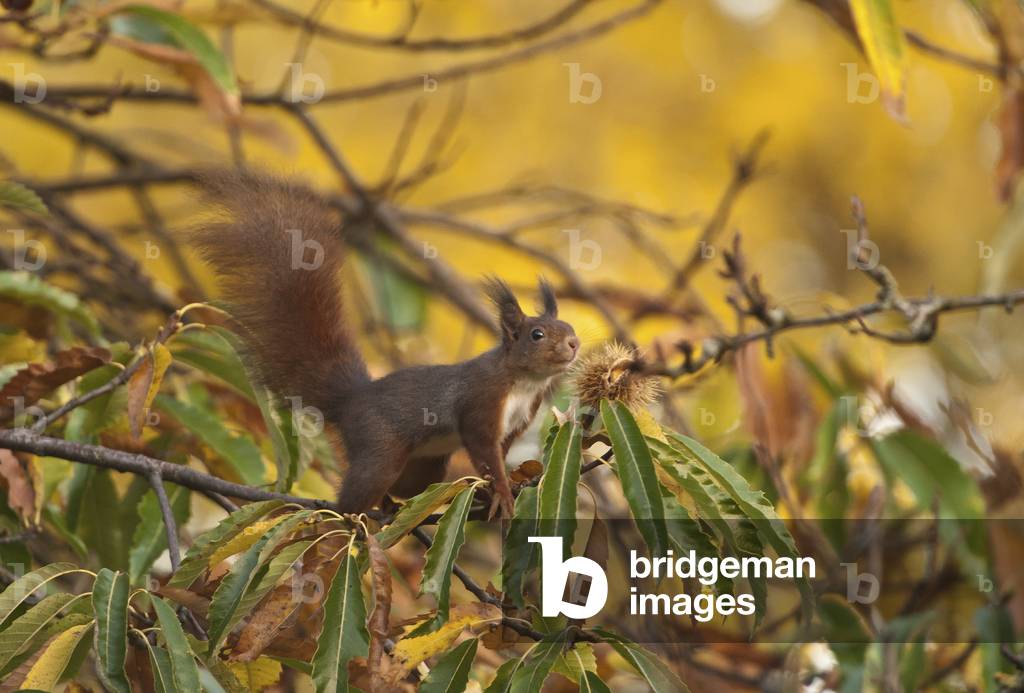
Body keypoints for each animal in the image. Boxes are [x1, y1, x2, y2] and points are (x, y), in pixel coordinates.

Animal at [189, 170, 579, 518]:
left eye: (569, 326)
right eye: (537, 335)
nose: (574, 343)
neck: (524, 380)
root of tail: (350, 400)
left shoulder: (518, 420)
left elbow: (496, 454)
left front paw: (503, 487)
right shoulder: (482, 400)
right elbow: (483, 449)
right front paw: (501, 492)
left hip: (424, 466)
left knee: (407, 485)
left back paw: (390, 505)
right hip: (379, 448)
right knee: (359, 490)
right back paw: (352, 518)